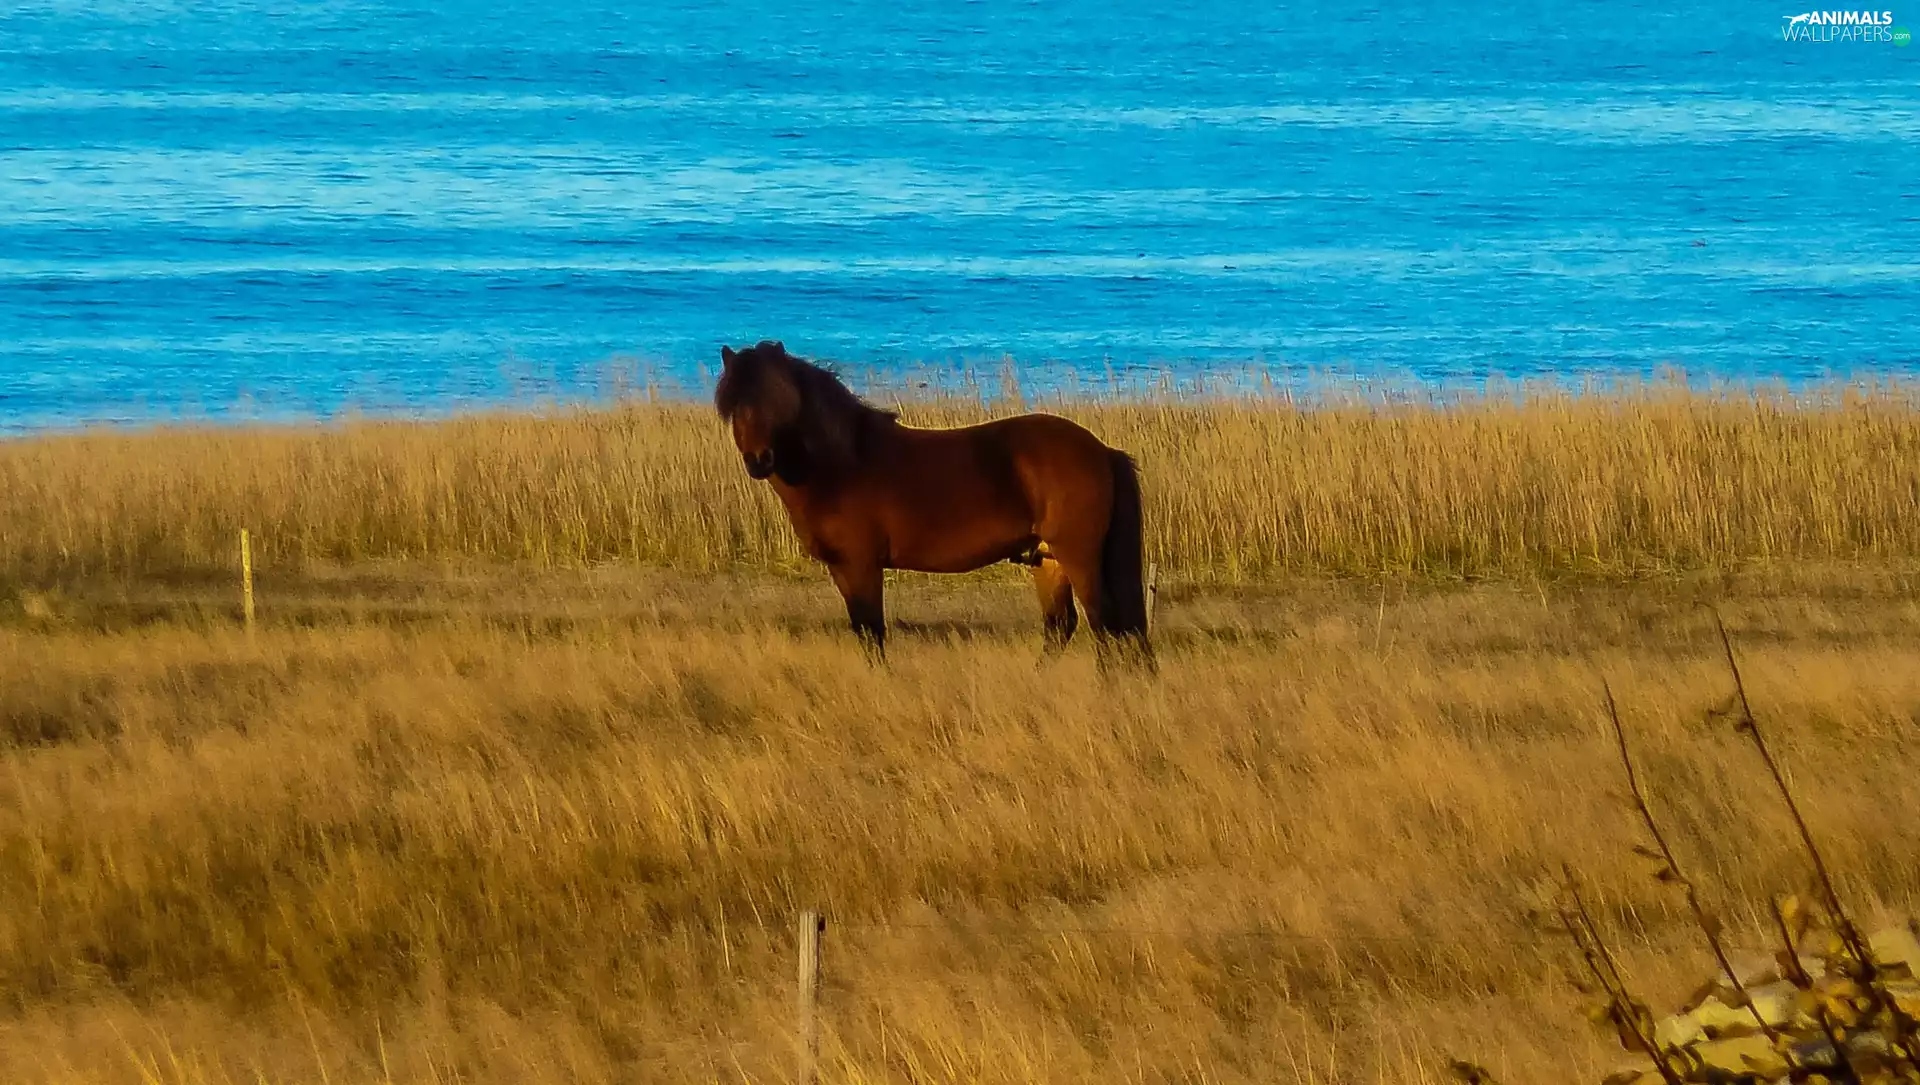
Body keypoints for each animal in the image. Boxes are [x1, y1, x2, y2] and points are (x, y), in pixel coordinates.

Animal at [713, 340, 1153, 668]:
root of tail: (1100, 450)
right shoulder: (842, 569)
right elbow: (863, 631)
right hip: (1047, 559)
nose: (759, 460)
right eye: (732, 405)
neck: (842, 465)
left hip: (1079, 554)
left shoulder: (861, 565)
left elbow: (873, 632)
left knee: (1105, 622)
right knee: (1063, 626)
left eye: (778, 398)